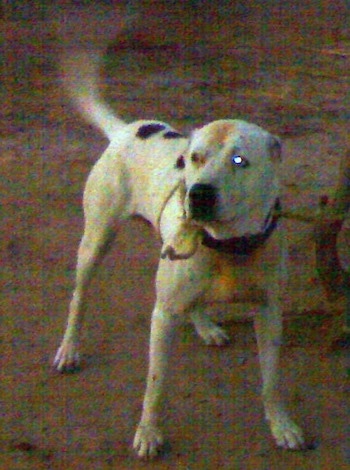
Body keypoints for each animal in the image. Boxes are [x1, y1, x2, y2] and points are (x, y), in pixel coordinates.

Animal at [54, 52, 304, 458]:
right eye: (194, 158)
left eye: (239, 161)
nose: (197, 193)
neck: (228, 245)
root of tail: (125, 130)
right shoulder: (163, 315)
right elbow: (155, 385)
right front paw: (148, 433)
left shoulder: (269, 312)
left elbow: (271, 381)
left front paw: (281, 425)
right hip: (95, 242)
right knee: (80, 297)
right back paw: (69, 348)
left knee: (194, 299)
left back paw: (205, 325)